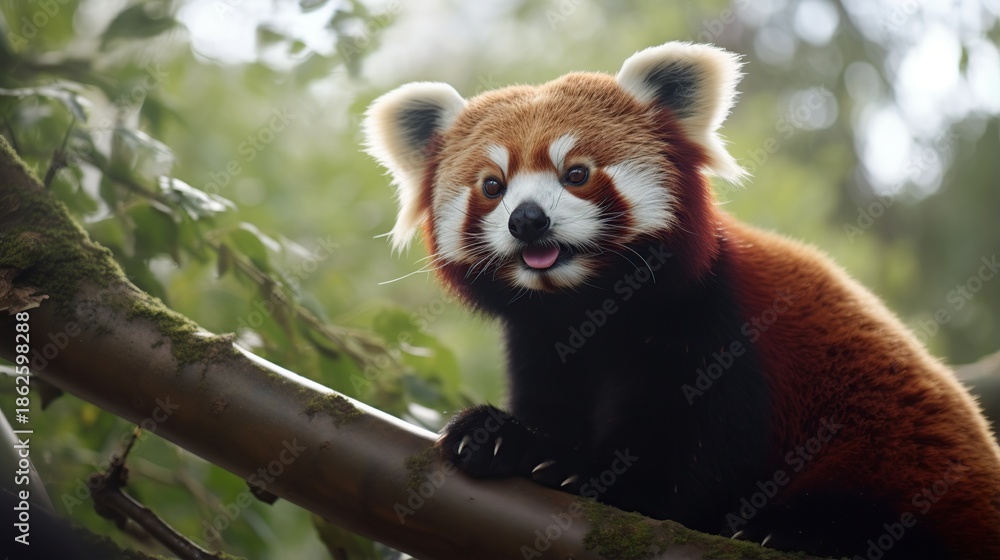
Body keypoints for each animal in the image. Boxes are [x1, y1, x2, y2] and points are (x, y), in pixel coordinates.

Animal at [362, 41, 1000, 559]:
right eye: (493, 187)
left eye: (576, 173)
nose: (527, 220)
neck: (590, 307)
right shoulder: (541, 340)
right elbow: (553, 404)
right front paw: (503, 436)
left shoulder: (720, 327)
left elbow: (695, 459)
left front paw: (589, 472)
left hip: (901, 457)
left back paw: (800, 529)